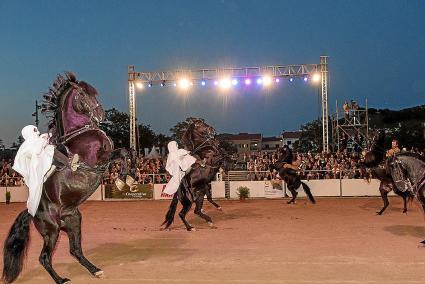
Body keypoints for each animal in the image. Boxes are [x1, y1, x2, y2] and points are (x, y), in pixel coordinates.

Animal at [2, 72, 127, 284]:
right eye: (83, 94)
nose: (100, 115)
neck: (80, 133)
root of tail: (32, 211)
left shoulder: (106, 158)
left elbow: (126, 152)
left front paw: (125, 179)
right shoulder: (98, 159)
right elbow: (123, 154)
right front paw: (123, 180)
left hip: (74, 221)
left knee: (75, 250)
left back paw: (95, 270)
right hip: (51, 230)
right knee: (44, 257)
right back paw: (61, 280)